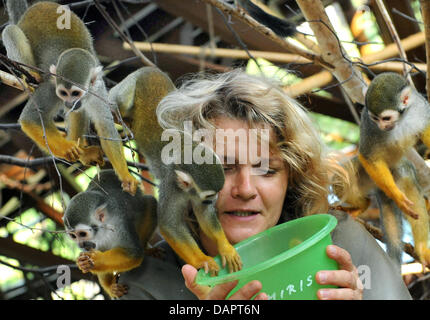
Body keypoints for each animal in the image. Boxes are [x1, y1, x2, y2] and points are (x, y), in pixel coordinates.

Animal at [1, 0, 138, 195]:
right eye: (63, 93)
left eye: (75, 93)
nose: (68, 102)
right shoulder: (52, 87)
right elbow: (30, 118)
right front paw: (67, 148)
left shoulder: (97, 90)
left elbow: (105, 127)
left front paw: (126, 176)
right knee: (10, 31)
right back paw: (31, 76)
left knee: (80, 112)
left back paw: (82, 151)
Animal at [63, 170, 158, 298]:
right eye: (73, 236)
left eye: (82, 234)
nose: (80, 245)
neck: (104, 230)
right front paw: (109, 286)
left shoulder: (120, 224)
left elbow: (134, 253)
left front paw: (96, 260)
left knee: (150, 203)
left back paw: (146, 249)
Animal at [108, 67, 242, 276]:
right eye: (210, 195)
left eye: (216, 194)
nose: (213, 201)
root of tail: (149, 69)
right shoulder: (171, 184)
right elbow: (169, 225)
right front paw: (203, 260)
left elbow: (204, 214)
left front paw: (225, 246)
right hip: (127, 87)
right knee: (118, 103)